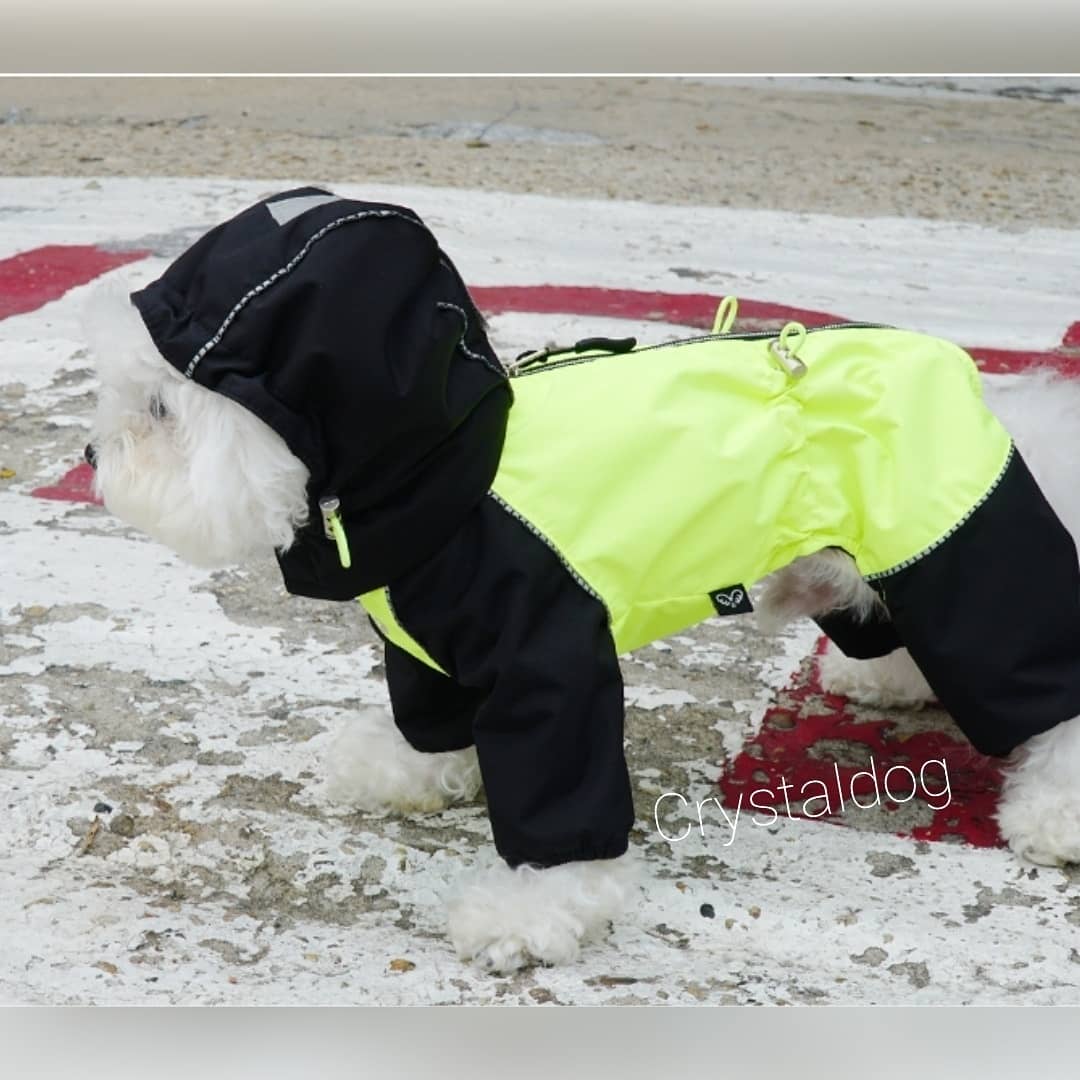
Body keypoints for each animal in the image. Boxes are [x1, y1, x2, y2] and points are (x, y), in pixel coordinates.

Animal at [86, 190, 1080, 976]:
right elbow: (432, 723)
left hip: (962, 551)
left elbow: (556, 784)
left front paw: (529, 910)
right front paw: (409, 768)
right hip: (875, 559)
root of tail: (994, 398)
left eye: (161, 410)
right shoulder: (427, 648)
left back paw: (1055, 814)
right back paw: (888, 679)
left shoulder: (547, 651)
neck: (446, 474)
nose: (92, 454)